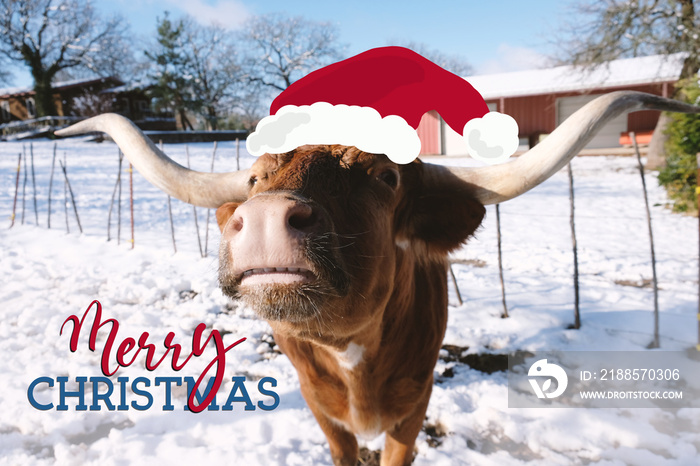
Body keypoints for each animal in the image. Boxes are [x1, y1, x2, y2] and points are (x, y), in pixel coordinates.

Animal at [57, 92, 696, 466]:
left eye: (385, 176)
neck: (354, 357)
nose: (263, 216)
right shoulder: (322, 411)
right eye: (257, 177)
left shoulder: (412, 412)